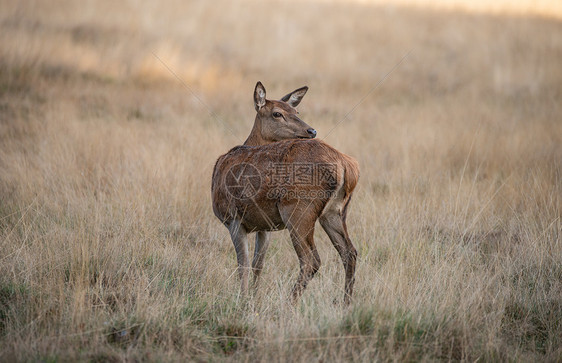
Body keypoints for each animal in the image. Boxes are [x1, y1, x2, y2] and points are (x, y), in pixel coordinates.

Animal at [210, 82, 358, 304]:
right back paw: (345, 304)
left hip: (298, 209)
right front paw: (254, 297)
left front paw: (242, 301)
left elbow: (243, 264)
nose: (311, 130)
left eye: (296, 111)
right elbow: (258, 264)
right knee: (350, 252)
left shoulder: (232, 217)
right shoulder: (265, 226)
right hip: (335, 212)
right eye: (277, 113)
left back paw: (289, 303)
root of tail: (345, 165)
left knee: (311, 260)